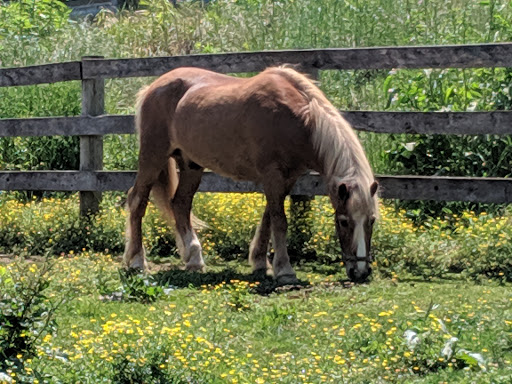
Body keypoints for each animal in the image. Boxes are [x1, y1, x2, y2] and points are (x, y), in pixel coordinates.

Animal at [123, 66, 380, 284]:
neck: (298, 119)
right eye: (343, 221)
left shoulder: (286, 179)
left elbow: (268, 218)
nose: (361, 272)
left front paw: (259, 262)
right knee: (137, 201)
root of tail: (153, 86)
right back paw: (137, 261)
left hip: (190, 165)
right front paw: (285, 270)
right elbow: (279, 221)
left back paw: (194, 259)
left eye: (372, 220)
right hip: (153, 156)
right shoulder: (273, 175)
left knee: (180, 204)